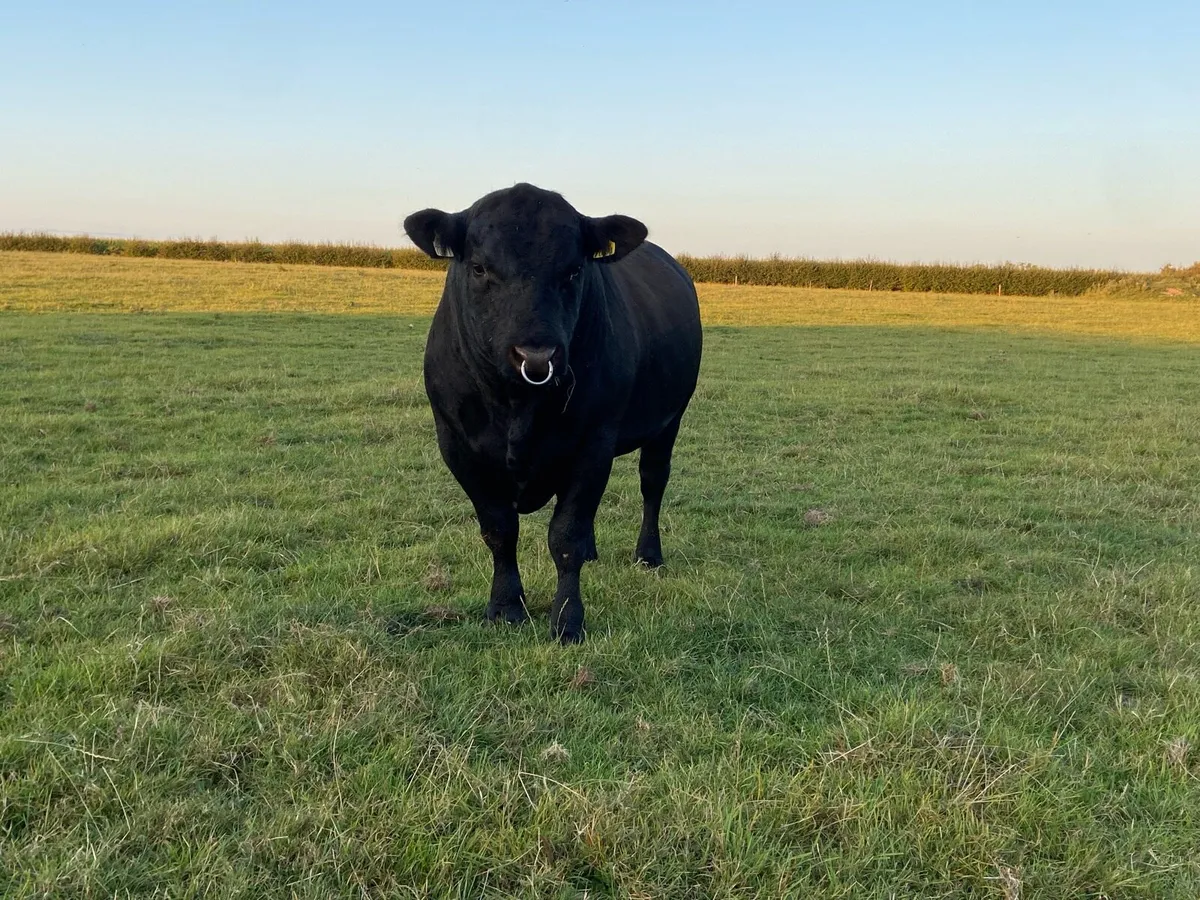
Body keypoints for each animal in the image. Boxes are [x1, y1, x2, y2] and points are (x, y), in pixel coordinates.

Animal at [404, 183, 703, 644]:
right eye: (479, 268)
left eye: (574, 271)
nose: (536, 354)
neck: (517, 407)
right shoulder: (457, 447)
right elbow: (499, 530)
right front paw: (506, 607)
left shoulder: (593, 442)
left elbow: (565, 536)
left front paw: (567, 619)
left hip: (669, 420)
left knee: (653, 482)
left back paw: (648, 555)